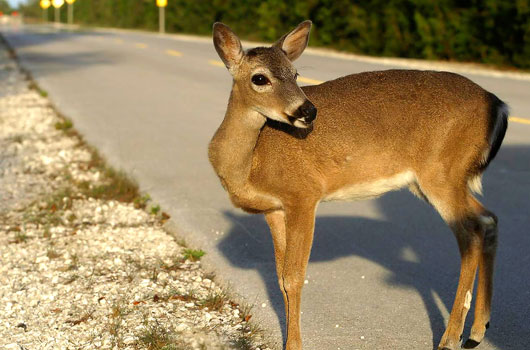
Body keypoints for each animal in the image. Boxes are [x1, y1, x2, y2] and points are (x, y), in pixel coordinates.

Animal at [207, 21, 508, 350]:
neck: (250, 164)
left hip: (441, 170)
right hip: (445, 178)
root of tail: (499, 104)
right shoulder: (273, 209)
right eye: (259, 78)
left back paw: (451, 338)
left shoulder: (303, 194)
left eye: (295, 74)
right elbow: (280, 277)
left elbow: (294, 277)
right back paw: (477, 331)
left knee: (471, 233)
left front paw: (294, 344)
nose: (308, 111)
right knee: (488, 218)